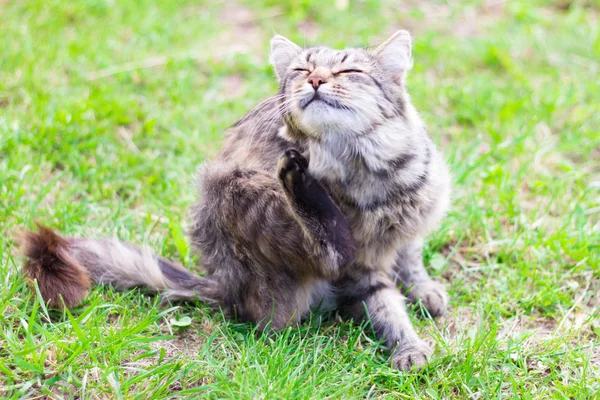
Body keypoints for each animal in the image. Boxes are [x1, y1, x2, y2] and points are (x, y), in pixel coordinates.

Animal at [17, 31, 450, 372]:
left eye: (349, 72)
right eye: (301, 69)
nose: (315, 80)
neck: (367, 167)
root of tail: (225, 286)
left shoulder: (412, 221)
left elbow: (410, 259)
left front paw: (424, 291)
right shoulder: (361, 267)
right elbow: (387, 306)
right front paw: (409, 345)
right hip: (234, 188)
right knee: (317, 261)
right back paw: (299, 181)